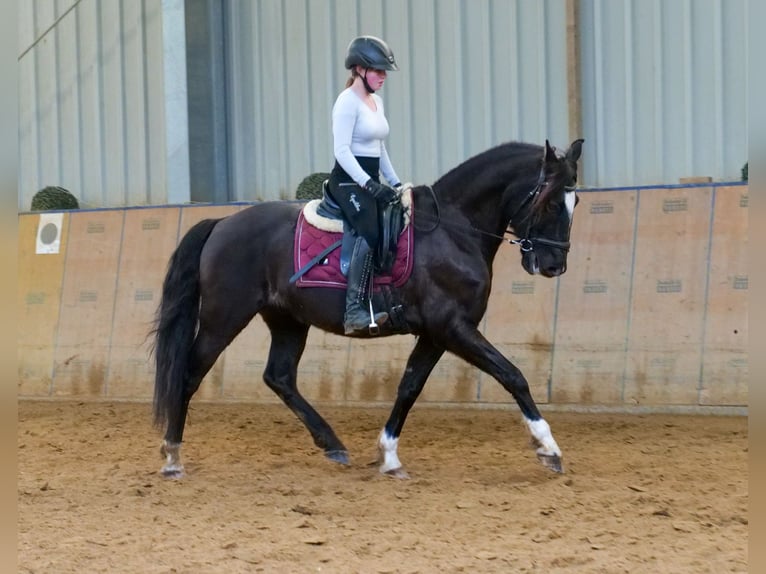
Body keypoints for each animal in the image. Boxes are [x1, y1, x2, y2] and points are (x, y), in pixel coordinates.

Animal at [153, 140, 584, 482]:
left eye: (575, 201)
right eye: (548, 201)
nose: (554, 266)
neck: (453, 231)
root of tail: (223, 223)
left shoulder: (435, 334)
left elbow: (409, 386)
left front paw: (389, 457)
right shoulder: (453, 327)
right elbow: (512, 376)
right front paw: (549, 449)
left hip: (287, 320)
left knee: (279, 377)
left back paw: (332, 444)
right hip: (223, 318)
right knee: (189, 374)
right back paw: (172, 457)